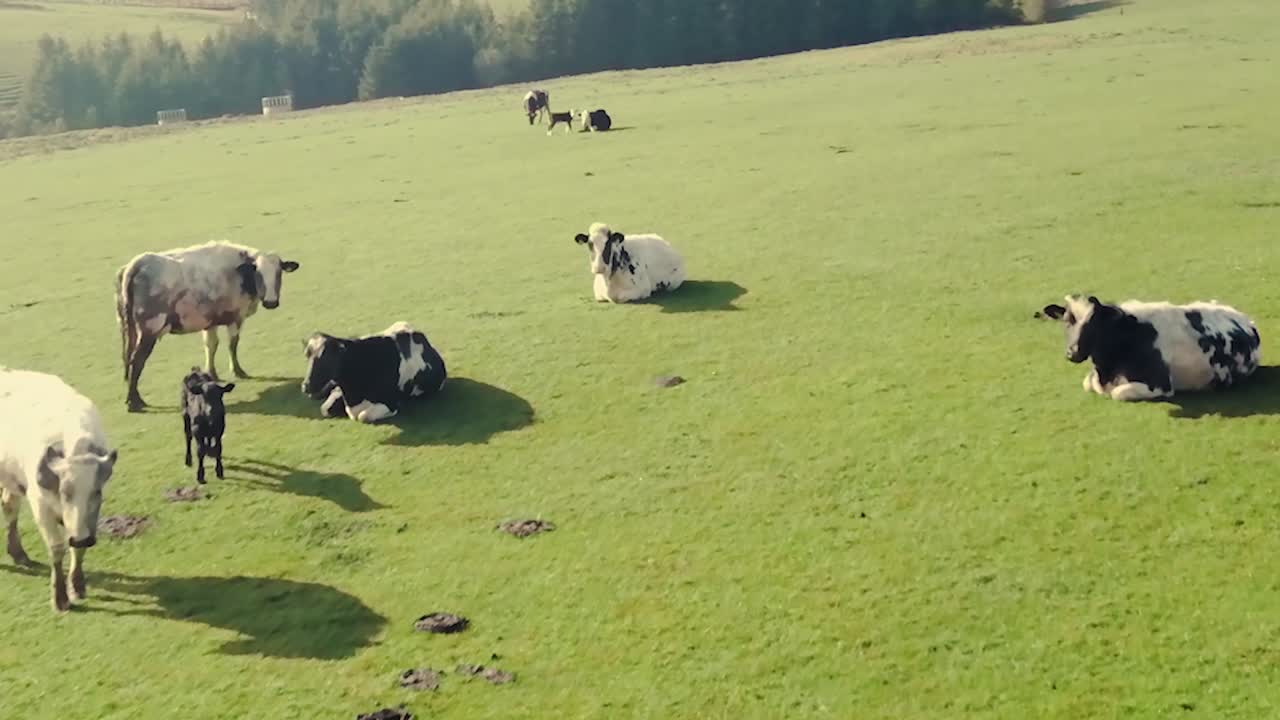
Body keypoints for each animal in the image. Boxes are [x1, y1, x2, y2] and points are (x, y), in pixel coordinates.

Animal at [0, 369, 118, 612]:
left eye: (96, 492)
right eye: (65, 492)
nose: (82, 539)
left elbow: (77, 548)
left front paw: (77, 585)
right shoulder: (40, 507)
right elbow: (56, 547)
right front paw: (60, 597)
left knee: (9, 507)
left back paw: (19, 554)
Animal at [116, 241, 300, 412]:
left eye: (279, 273)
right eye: (259, 274)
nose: (271, 302)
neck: (239, 273)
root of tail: (137, 264)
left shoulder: (210, 319)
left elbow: (211, 346)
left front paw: (212, 373)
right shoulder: (235, 317)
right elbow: (232, 344)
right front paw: (238, 370)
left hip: (129, 327)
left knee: (129, 358)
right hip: (150, 328)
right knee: (137, 361)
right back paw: (134, 402)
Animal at [301, 322, 447, 424]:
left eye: (327, 358)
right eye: (307, 355)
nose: (305, 386)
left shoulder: (390, 402)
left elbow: (363, 416)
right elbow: (325, 408)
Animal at [1041, 294, 1262, 402]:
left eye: (1095, 322)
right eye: (1067, 321)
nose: (1072, 352)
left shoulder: (1160, 384)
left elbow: (1117, 393)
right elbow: (1088, 383)